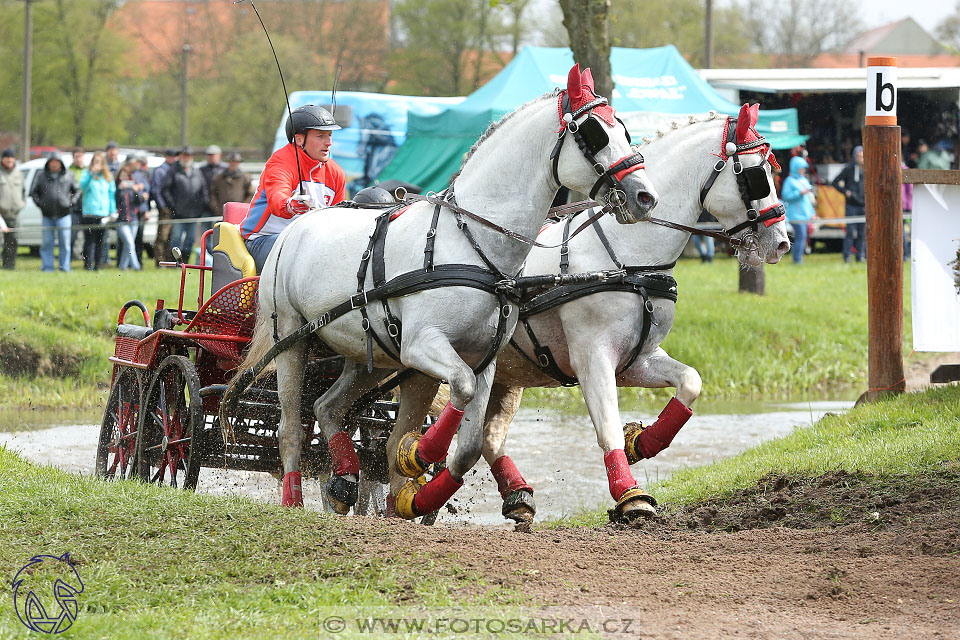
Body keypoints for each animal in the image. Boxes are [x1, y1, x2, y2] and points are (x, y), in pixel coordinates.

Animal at [236, 65, 664, 516]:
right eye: (594, 133)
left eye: (624, 129)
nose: (645, 197)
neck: (471, 240)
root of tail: (297, 226)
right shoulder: (423, 346)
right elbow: (458, 390)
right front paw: (417, 455)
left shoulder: (484, 358)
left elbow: (469, 444)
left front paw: (417, 496)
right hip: (292, 341)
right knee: (291, 428)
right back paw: (293, 500)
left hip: (371, 356)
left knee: (327, 406)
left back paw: (346, 478)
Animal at [476, 104, 792, 520]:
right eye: (757, 175)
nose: (782, 242)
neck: (626, 259)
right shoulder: (592, 358)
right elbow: (607, 425)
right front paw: (631, 495)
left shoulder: (635, 360)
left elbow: (690, 382)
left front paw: (641, 442)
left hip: (507, 377)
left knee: (487, 436)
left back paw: (514, 495)